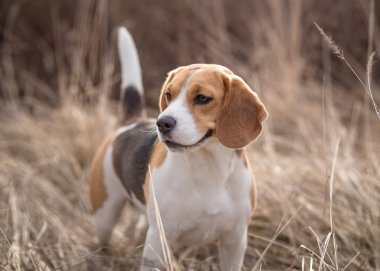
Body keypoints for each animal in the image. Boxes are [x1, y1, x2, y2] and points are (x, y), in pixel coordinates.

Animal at [88, 28, 268, 271]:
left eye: (202, 98)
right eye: (168, 95)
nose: (162, 123)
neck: (208, 167)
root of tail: (132, 121)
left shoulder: (235, 239)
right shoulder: (159, 240)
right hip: (104, 214)